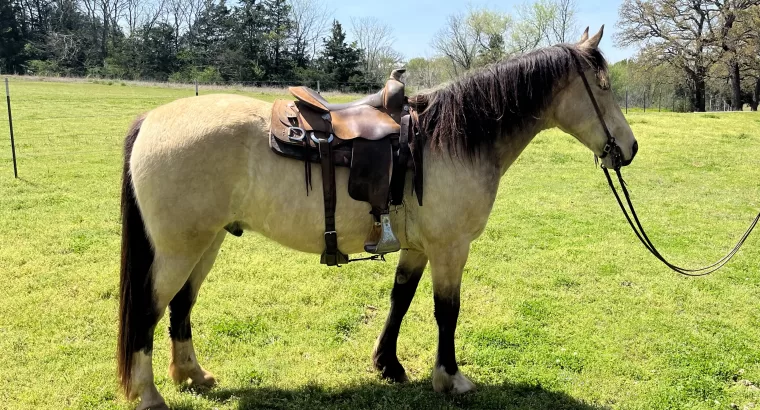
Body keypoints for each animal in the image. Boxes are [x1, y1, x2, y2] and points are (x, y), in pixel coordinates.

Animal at [116, 27, 636, 408]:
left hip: (207, 242)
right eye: (604, 87)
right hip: (178, 248)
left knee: (181, 305)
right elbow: (447, 310)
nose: (628, 149)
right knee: (148, 308)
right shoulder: (451, 248)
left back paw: (192, 375)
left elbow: (399, 300)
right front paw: (450, 378)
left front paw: (388, 365)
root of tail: (151, 120)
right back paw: (148, 395)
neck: (453, 140)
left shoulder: (417, 248)